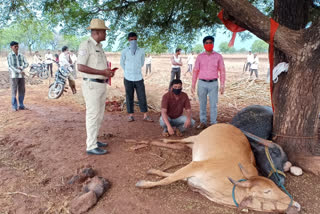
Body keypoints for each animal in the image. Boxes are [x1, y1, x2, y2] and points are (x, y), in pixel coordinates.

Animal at [136, 123, 302, 213]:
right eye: (267, 191)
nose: (296, 204)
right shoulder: (197, 165)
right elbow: (167, 179)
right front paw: (144, 183)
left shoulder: (191, 179)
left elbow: (169, 175)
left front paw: (154, 172)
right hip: (195, 138)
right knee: (180, 141)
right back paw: (163, 140)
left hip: (193, 145)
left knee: (182, 145)